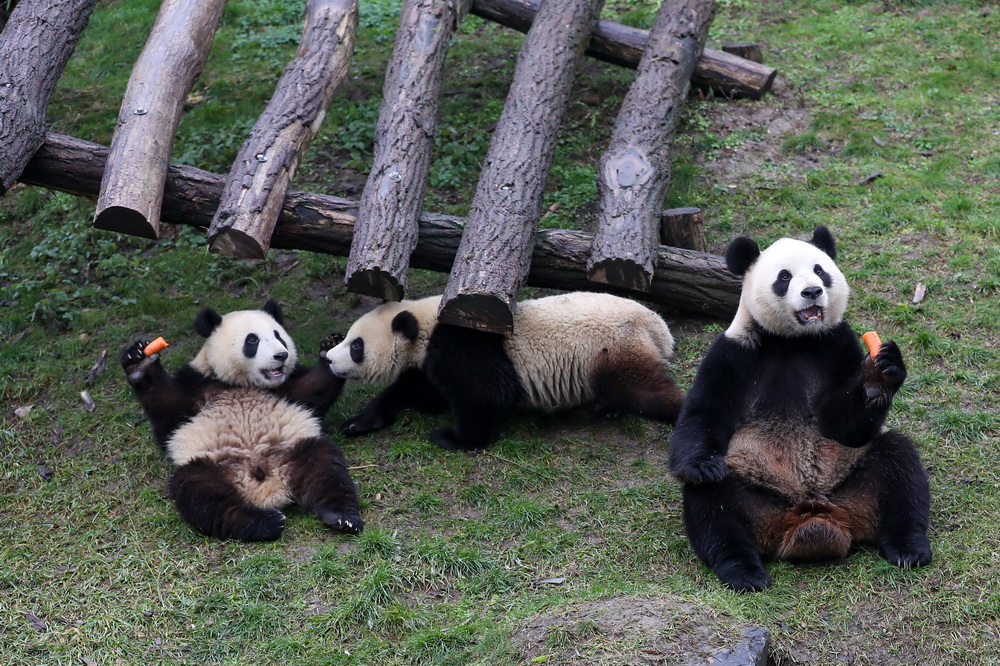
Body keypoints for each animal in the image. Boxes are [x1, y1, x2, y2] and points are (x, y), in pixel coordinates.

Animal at [121, 300, 364, 540]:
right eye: (252, 340)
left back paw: (341, 517)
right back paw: (263, 523)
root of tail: (268, 489)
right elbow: (167, 408)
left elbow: (313, 390)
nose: (281, 355)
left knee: (326, 468)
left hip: (294, 449)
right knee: (201, 494)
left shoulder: (287, 389)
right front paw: (139, 363)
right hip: (211, 463)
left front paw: (331, 348)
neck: (241, 383)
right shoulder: (196, 386)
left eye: (278, 336)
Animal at [324, 292, 684, 452]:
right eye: (348, 338)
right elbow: (414, 391)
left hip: (610, 347)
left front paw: (453, 438)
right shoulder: (428, 364)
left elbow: (485, 394)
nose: (327, 359)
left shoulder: (464, 345)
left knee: (641, 389)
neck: (426, 328)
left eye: (356, 346)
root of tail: (656, 324)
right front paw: (358, 423)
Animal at [668, 226, 932, 588]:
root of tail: (812, 520)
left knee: (899, 468)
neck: (792, 341)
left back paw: (909, 548)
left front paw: (881, 374)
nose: (812, 291)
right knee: (714, 508)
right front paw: (701, 464)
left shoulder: (836, 346)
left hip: (852, 481)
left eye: (820, 270)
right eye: (784, 276)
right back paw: (743, 571)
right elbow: (704, 412)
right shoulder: (733, 353)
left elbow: (844, 426)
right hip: (754, 494)